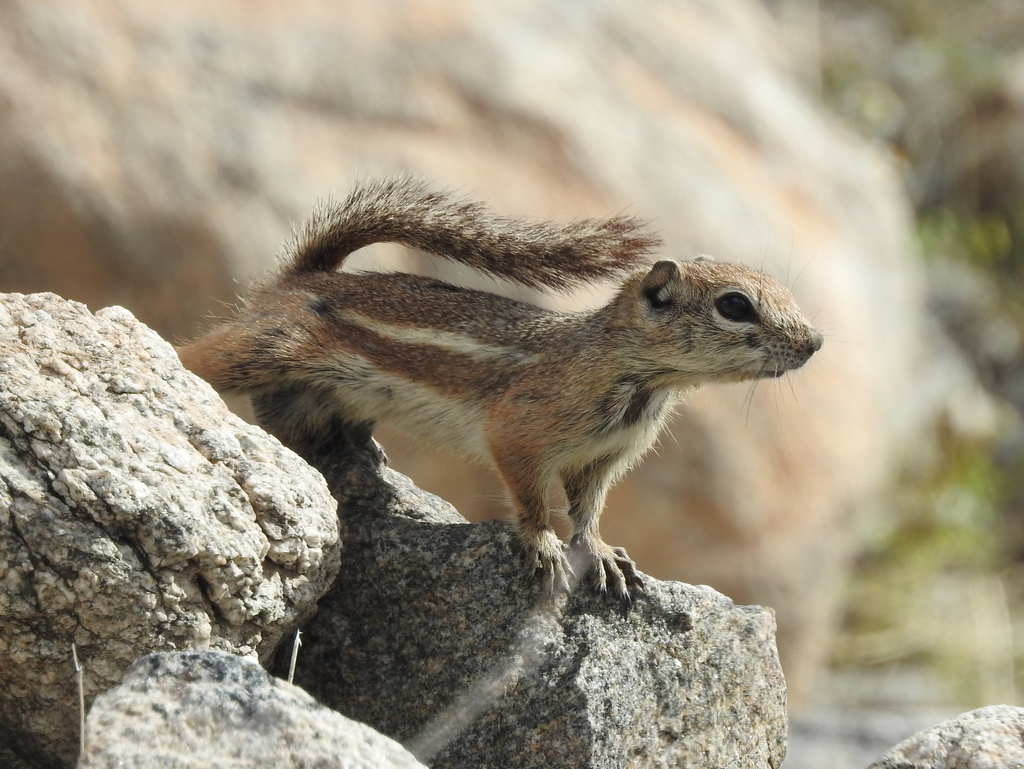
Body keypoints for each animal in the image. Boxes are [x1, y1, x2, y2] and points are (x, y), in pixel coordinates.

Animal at [180, 177, 823, 606]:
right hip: (268, 348)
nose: (815, 341)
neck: (640, 381)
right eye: (735, 305)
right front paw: (544, 547)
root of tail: (303, 278)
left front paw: (604, 554)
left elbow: (589, 509)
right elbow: (531, 497)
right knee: (202, 359)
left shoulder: (603, 459)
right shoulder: (521, 431)